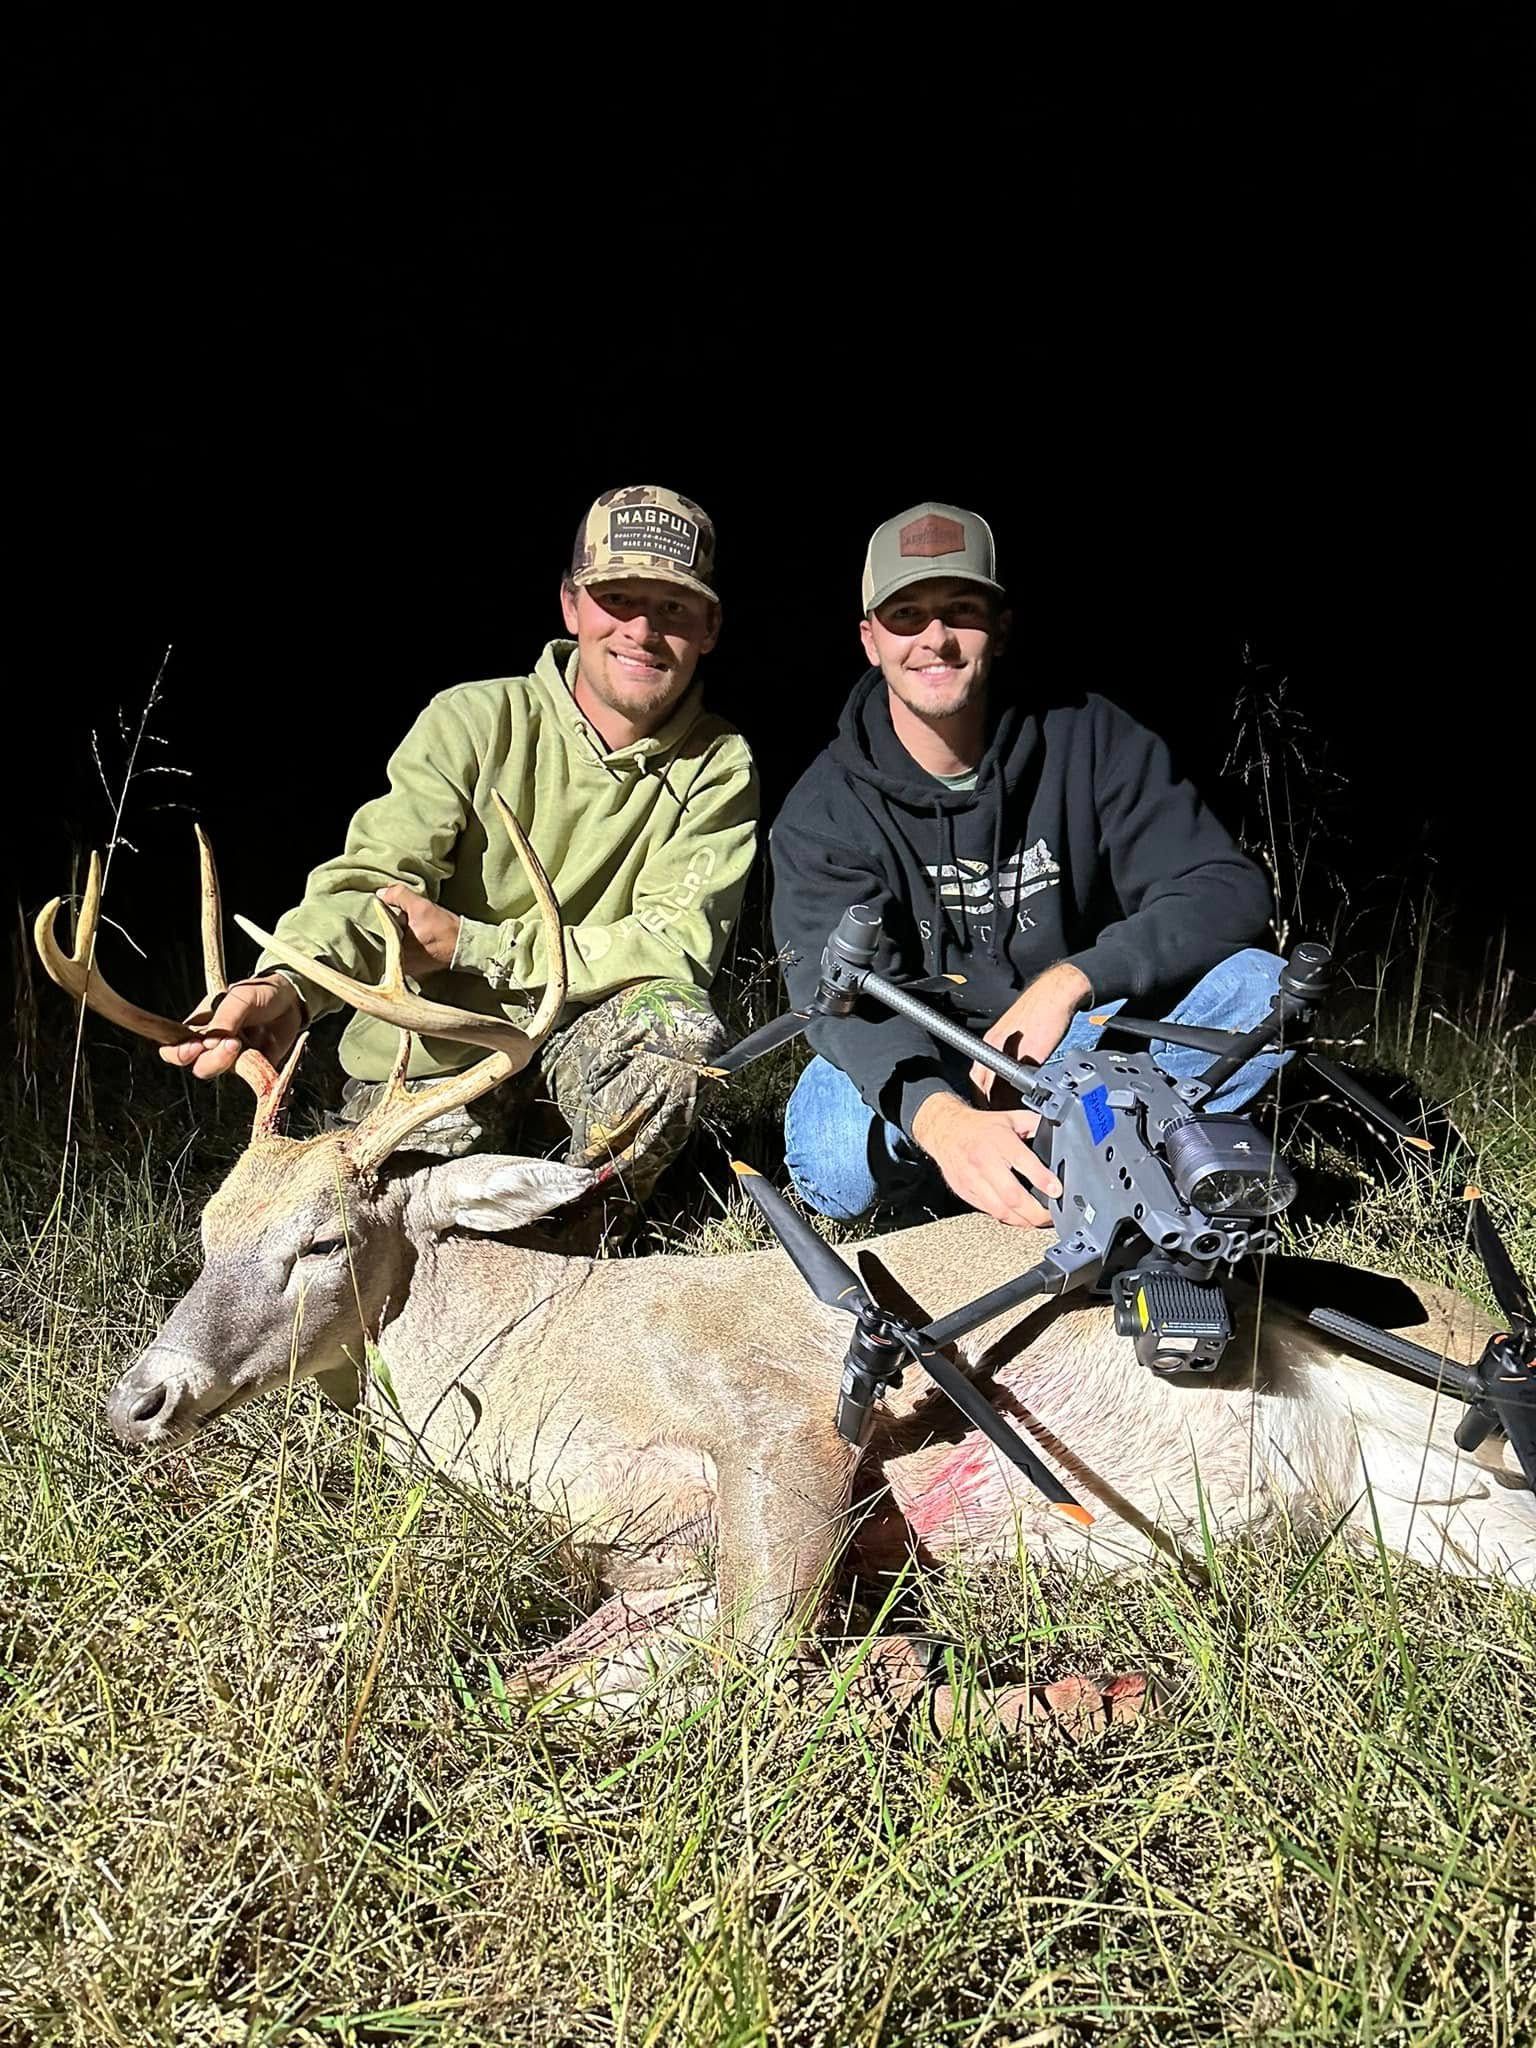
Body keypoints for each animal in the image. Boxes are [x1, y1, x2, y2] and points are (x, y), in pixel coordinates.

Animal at [36, 806, 1535, 1734]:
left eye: (324, 1239)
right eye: (207, 1229)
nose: (140, 1400)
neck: (518, 1360)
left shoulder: (784, 1423)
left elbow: (744, 1665)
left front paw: (1045, 1693)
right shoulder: (643, 1552)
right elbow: (540, 1677)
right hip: (1422, 1523)